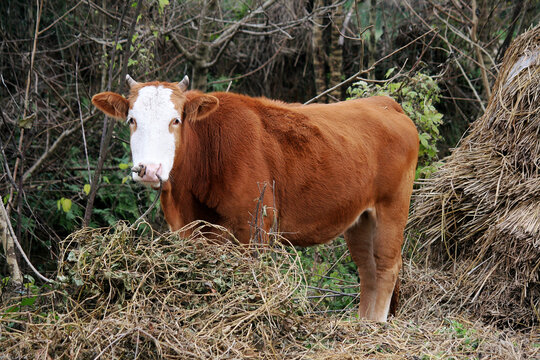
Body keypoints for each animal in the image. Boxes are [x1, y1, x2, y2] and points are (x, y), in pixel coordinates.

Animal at [93, 74, 420, 322]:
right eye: (132, 120)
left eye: (176, 120)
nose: (149, 169)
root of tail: (385, 103)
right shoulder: (190, 228)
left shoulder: (256, 223)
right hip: (360, 217)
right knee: (367, 269)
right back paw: (363, 323)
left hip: (392, 206)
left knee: (386, 265)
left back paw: (376, 326)